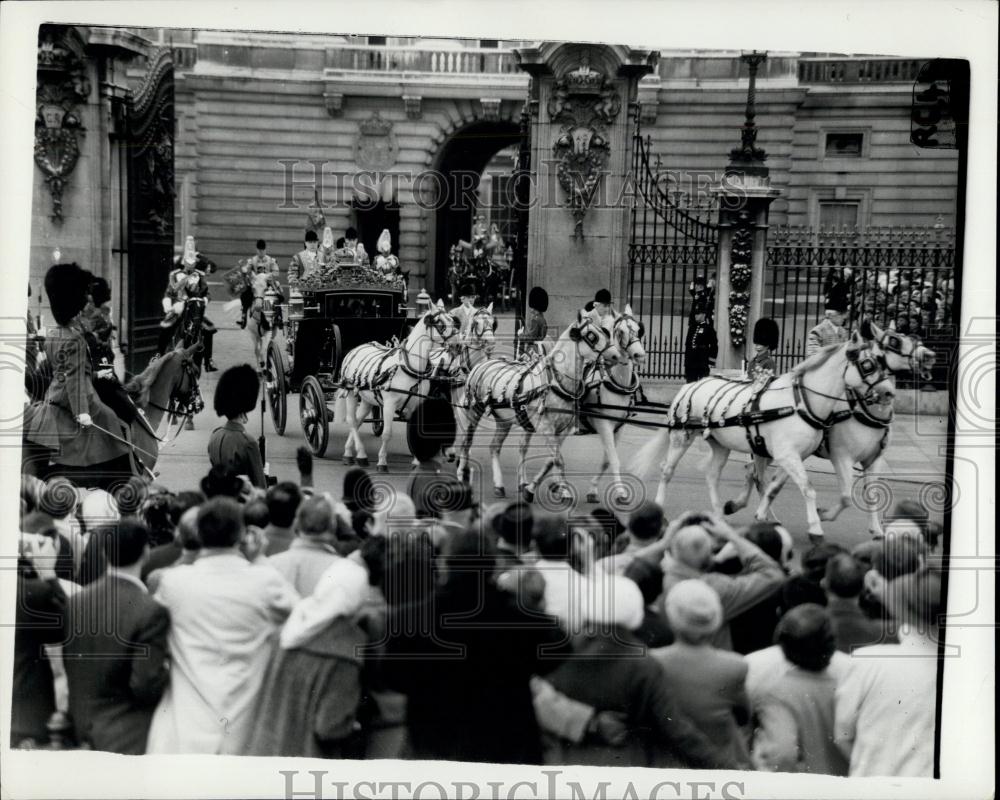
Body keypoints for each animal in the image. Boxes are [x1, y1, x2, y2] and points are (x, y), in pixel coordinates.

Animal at [338, 304, 458, 472]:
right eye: (440, 324)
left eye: (453, 321)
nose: (459, 343)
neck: (410, 367)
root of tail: (355, 349)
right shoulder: (389, 404)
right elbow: (387, 433)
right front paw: (382, 462)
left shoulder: (415, 405)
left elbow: (417, 431)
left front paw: (417, 462)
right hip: (351, 393)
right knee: (352, 421)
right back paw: (360, 455)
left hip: (368, 399)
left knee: (358, 420)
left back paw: (349, 452)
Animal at [460, 312, 624, 500]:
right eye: (592, 336)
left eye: (604, 332)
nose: (616, 356)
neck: (556, 382)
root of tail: (483, 363)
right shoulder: (546, 427)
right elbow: (558, 460)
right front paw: (562, 489)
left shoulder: (563, 430)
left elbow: (552, 460)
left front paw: (548, 487)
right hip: (475, 411)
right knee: (467, 442)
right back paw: (462, 475)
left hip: (504, 420)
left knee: (494, 447)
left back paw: (499, 485)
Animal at [580, 306, 648, 506]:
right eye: (621, 332)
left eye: (639, 329)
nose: (640, 355)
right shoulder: (604, 424)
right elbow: (614, 460)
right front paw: (621, 492)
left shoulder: (619, 427)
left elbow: (607, 460)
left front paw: (593, 490)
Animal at [632, 328, 892, 540]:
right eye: (868, 365)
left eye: (883, 363)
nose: (888, 393)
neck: (800, 402)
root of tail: (690, 385)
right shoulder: (797, 455)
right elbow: (806, 488)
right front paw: (815, 526)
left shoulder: (795, 455)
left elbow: (773, 486)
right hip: (682, 436)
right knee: (667, 470)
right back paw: (662, 510)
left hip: (720, 443)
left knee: (713, 474)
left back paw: (719, 514)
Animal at [724, 322, 940, 536]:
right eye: (894, 341)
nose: (929, 355)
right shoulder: (841, 456)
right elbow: (846, 497)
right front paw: (823, 515)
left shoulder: (874, 460)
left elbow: (872, 494)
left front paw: (876, 529)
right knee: (756, 473)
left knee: (756, 473)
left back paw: (746, 507)